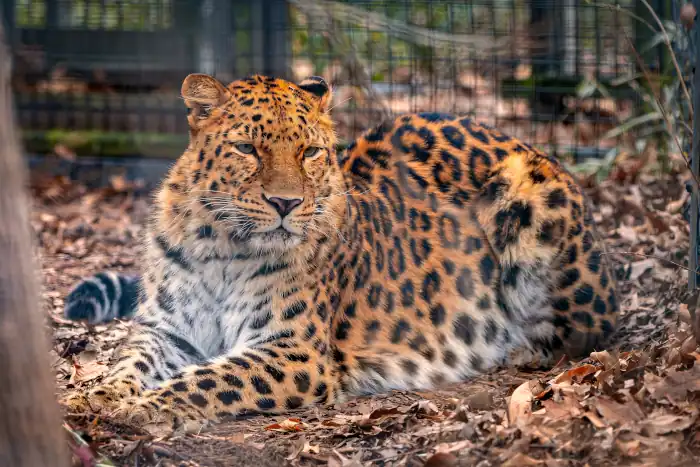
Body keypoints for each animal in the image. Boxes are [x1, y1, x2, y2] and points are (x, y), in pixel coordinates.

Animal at [61, 72, 619, 436]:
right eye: (247, 149)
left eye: (310, 152)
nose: (285, 203)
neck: (222, 245)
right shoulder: (167, 331)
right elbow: (127, 361)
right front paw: (93, 396)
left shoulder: (294, 350)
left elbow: (209, 379)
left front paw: (148, 409)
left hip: (531, 199)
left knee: (586, 332)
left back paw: (515, 344)